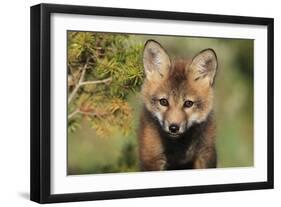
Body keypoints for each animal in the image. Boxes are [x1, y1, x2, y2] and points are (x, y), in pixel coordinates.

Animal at [138, 39, 217, 171]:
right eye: (163, 102)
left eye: (188, 103)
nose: (174, 128)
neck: (178, 149)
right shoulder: (151, 158)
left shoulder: (205, 154)